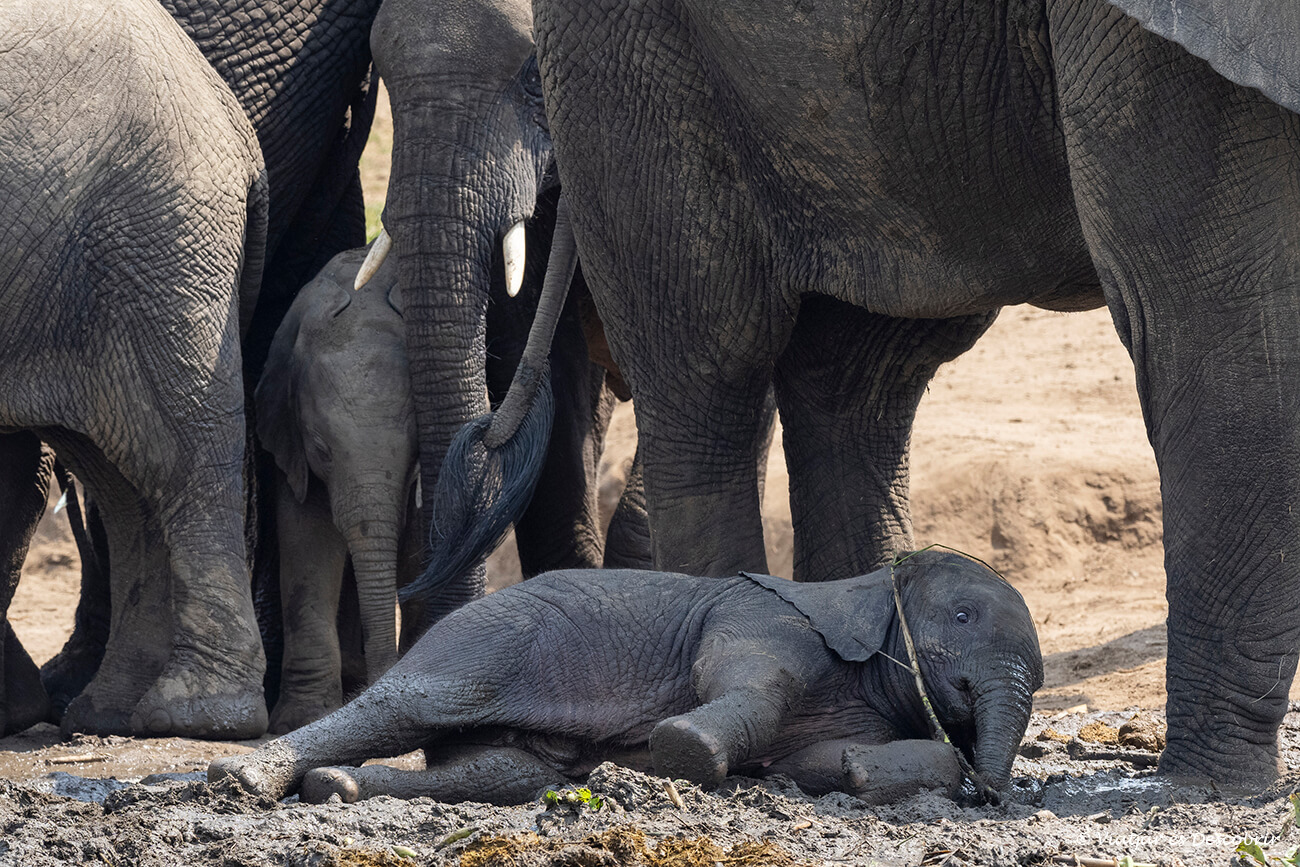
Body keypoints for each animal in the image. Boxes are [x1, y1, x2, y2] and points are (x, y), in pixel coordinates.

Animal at [209, 551, 1042, 805]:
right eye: (962, 617)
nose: (994, 798)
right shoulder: (766, 624)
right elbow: (747, 688)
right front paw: (683, 752)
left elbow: (812, 758)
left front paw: (857, 770)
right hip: (483, 644)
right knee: (402, 707)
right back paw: (244, 780)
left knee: (505, 771)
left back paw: (336, 789)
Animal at [255, 246, 421, 733]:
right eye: (321, 449)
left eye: (415, 448)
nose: (383, 683)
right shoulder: (288, 434)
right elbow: (307, 538)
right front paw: (301, 720)